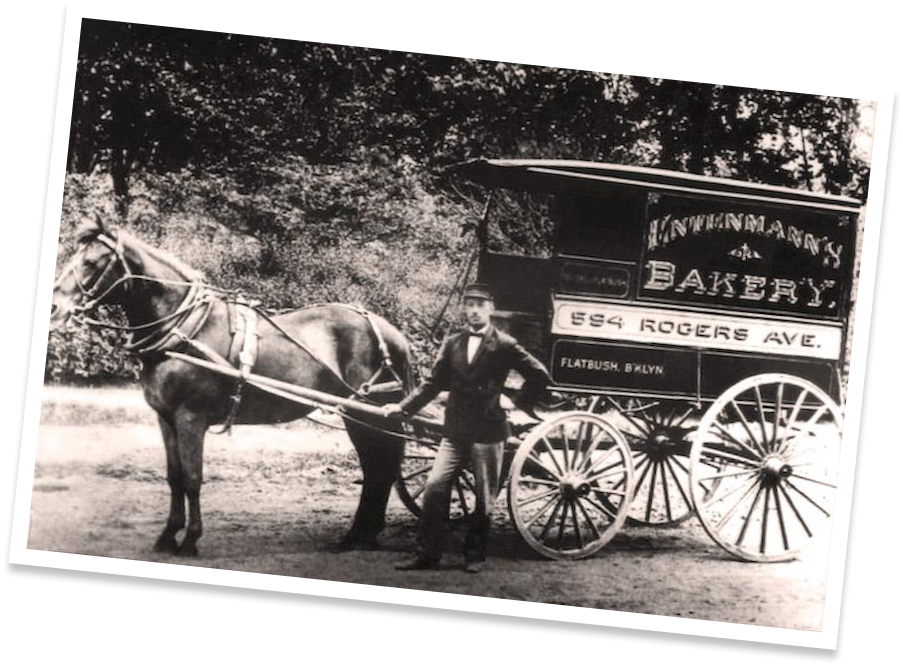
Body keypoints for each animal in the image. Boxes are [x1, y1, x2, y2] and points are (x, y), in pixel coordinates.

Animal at [47, 214, 414, 556]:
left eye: (92, 262)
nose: (54, 307)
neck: (184, 330)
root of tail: (391, 332)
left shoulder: (190, 418)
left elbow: (192, 477)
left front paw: (190, 540)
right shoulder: (166, 419)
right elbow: (174, 477)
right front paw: (168, 535)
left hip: (366, 413)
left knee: (378, 467)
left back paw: (361, 535)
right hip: (361, 415)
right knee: (376, 468)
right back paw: (360, 536)